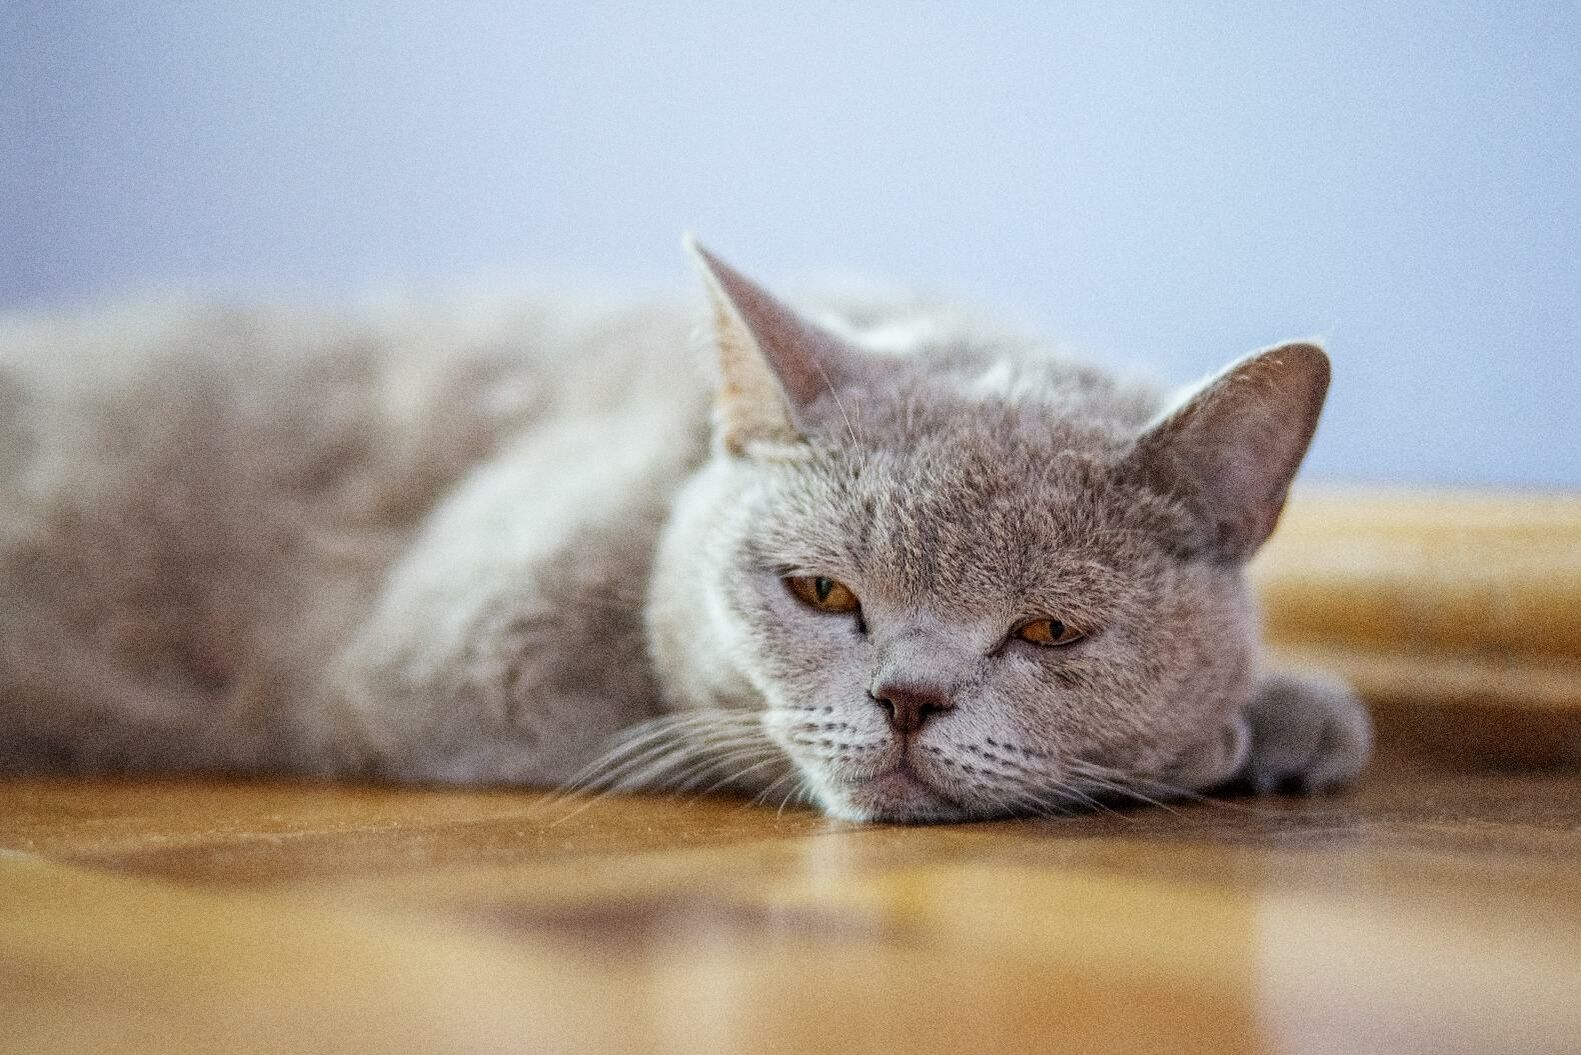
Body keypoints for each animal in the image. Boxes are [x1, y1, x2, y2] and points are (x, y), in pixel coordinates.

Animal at [0, 242, 1372, 822]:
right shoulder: (452, 660)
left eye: (1047, 630)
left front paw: (1289, 710)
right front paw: (1214, 738)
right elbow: (707, 729)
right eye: (822, 593)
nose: (907, 699)